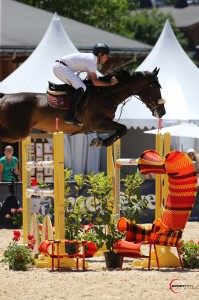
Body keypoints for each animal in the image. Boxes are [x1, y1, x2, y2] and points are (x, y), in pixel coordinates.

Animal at [0, 68, 166, 148]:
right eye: (157, 87)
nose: (162, 112)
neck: (107, 93)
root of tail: (5, 97)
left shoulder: (100, 124)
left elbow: (121, 130)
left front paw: (101, 142)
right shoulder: (98, 123)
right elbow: (123, 128)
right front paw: (102, 142)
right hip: (17, 133)